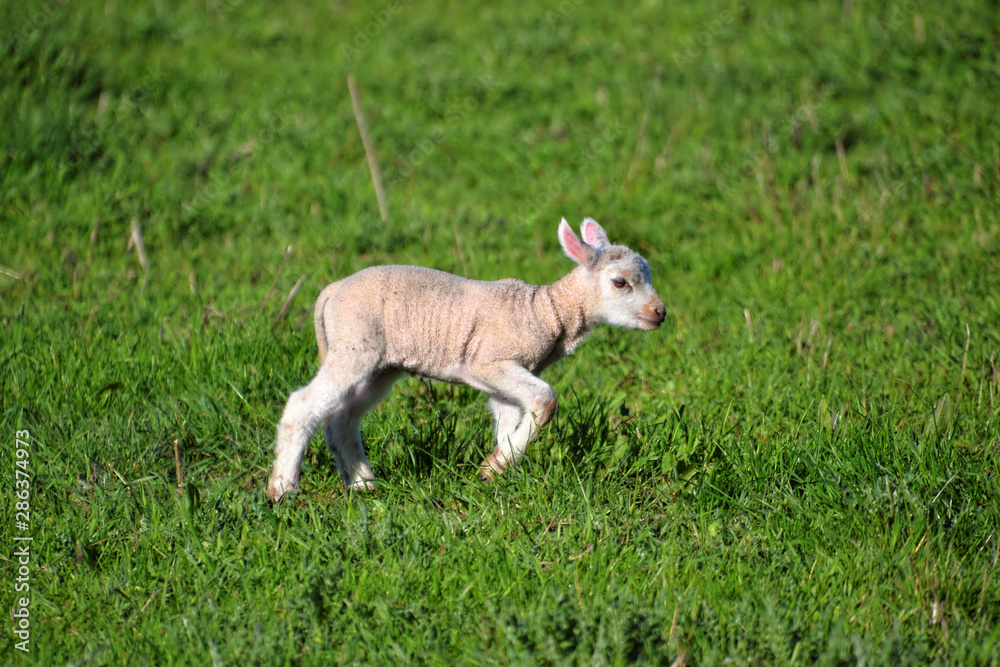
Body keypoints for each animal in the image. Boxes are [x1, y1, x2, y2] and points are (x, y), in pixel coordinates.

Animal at [266, 217, 665, 501]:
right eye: (620, 283)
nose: (659, 313)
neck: (545, 311)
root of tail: (333, 290)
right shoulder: (490, 362)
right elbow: (545, 400)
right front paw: (495, 466)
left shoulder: (503, 379)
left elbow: (509, 420)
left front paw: (498, 470)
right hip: (355, 344)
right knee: (303, 404)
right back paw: (283, 489)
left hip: (380, 364)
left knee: (342, 419)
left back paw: (363, 485)